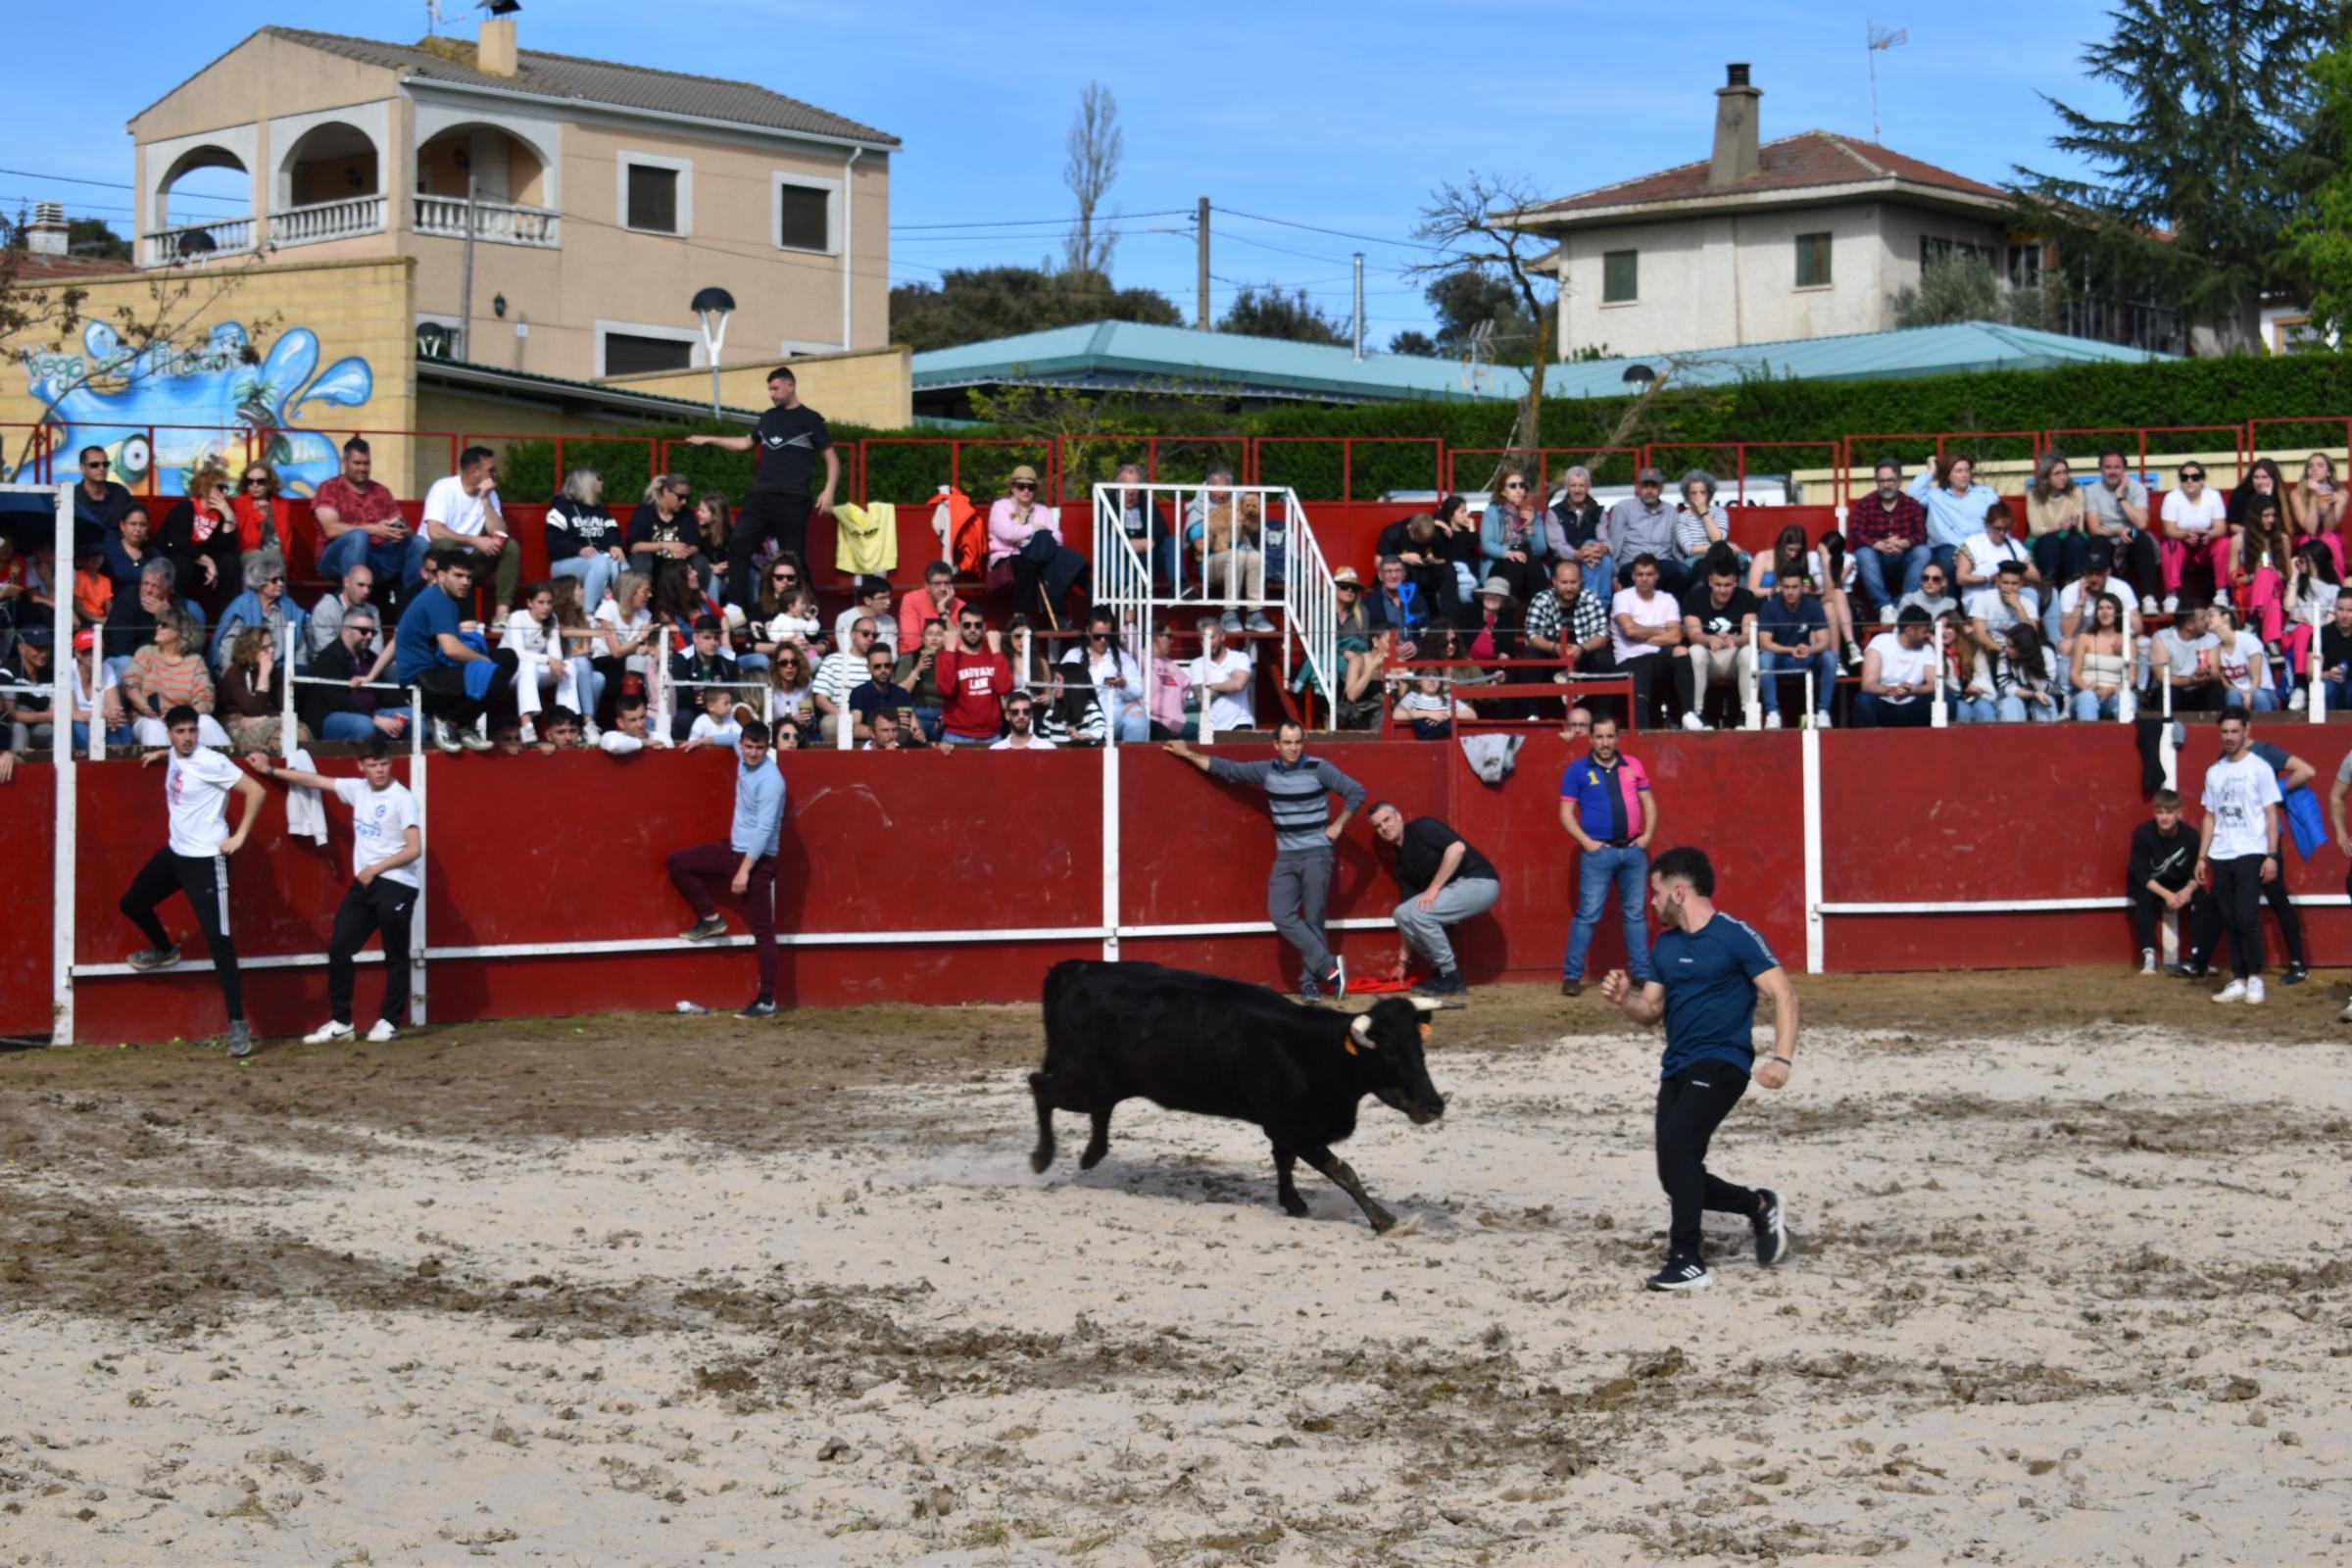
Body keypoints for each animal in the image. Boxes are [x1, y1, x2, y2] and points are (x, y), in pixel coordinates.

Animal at [1030, 958, 1448, 1241]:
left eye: (1420, 1050)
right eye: (1389, 1055)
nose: (1434, 1106)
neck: (1312, 1050)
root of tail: (1076, 969)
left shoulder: (1286, 1127)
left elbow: (1284, 1162)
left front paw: (1293, 1204)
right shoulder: (1294, 1128)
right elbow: (1342, 1170)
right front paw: (1384, 1220)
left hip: (1103, 1081)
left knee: (1096, 1106)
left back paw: (1091, 1155)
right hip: (1084, 1081)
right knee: (1040, 1087)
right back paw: (1042, 1158)